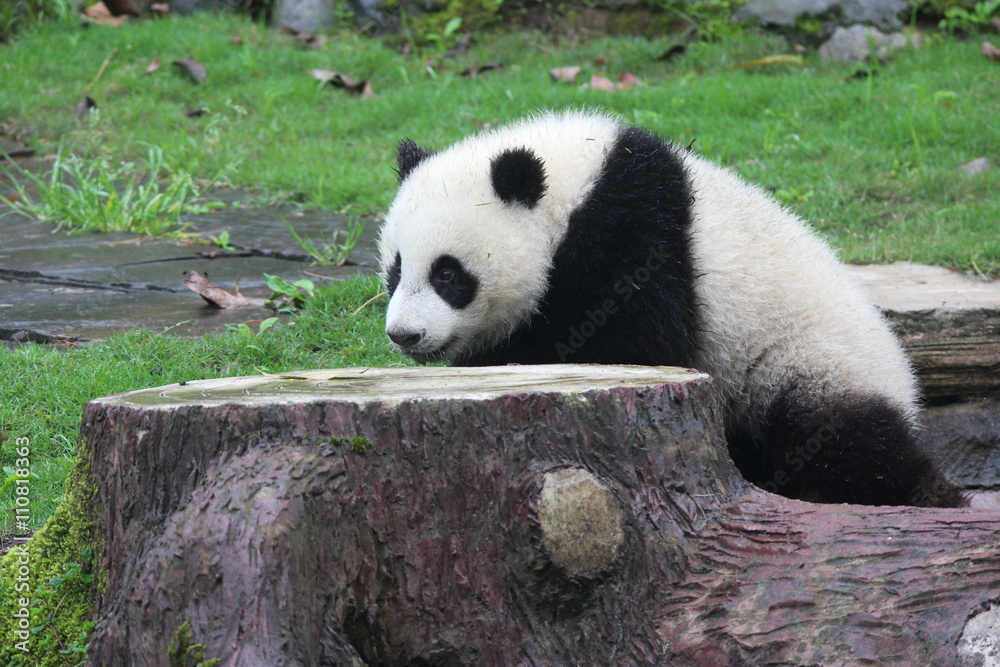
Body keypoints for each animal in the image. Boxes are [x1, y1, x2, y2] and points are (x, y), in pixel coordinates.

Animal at [377, 110, 963, 508]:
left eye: (448, 274)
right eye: (395, 271)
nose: (405, 335)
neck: (575, 185)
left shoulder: (635, 238)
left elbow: (635, 343)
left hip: (809, 363)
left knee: (846, 445)